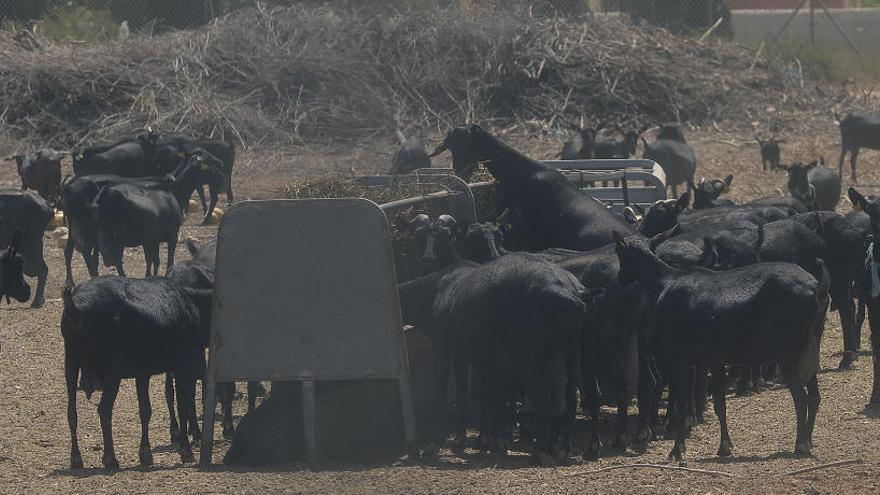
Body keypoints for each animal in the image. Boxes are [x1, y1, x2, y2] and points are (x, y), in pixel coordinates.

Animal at [612, 232, 832, 462]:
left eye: (620, 252)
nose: (620, 276)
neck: (664, 283)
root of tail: (817, 288)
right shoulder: (714, 358)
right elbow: (720, 404)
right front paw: (724, 445)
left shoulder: (681, 356)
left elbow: (682, 404)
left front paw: (677, 449)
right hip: (809, 346)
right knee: (815, 396)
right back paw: (808, 439)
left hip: (787, 350)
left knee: (801, 396)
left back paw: (800, 444)